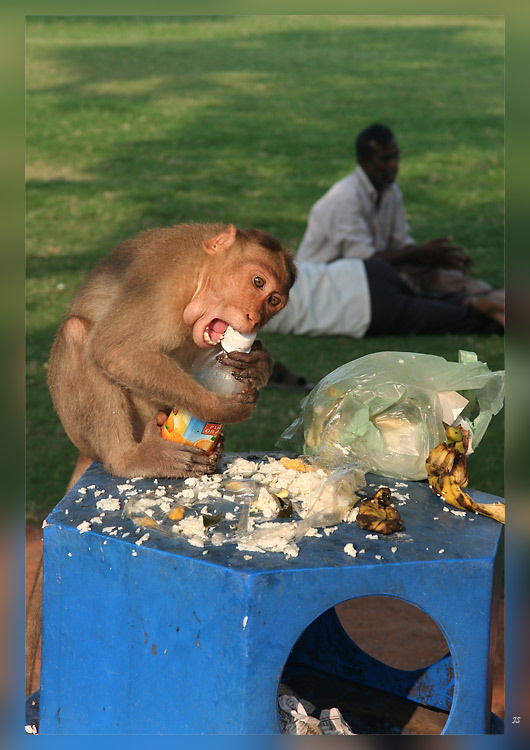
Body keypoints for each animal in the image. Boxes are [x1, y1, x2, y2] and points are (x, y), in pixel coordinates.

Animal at [26, 222, 296, 696]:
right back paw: (130, 458)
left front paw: (258, 362)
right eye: (257, 283)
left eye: (274, 301)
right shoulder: (160, 286)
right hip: (91, 424)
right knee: (81, 334)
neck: (200, 274)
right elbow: (117, 351)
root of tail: (88, 450)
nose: (253, 319)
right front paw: (219, 406)